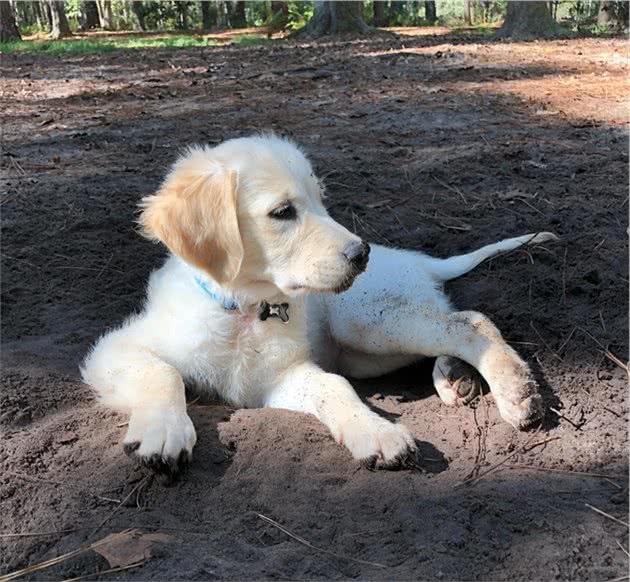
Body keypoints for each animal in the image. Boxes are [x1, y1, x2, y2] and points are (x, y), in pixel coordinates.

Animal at [81, 135, 560, 476]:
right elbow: (162, 372)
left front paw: (377, 432)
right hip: (367, 348)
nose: (361, 253)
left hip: (365, 320)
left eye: (320, 199)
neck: (244, 312)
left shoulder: (283, 374)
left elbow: (335, 387)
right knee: (450, 326)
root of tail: (415, 259)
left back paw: (515, 391)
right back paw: (453, 378)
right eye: (282, 212)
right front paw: (164, 430)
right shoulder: (116, 349)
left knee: (470, 322)